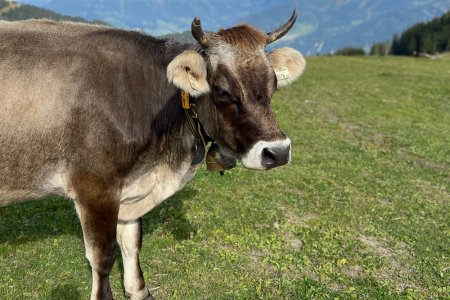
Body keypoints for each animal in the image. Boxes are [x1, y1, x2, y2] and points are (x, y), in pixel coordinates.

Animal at [0, 9, 306, 300]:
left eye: (273, 83)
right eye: (221, 91)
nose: (278, 152)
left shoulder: (131, 184)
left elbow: (132, 241)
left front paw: (138, 290)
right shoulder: (95, 187)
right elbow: (103, 257)